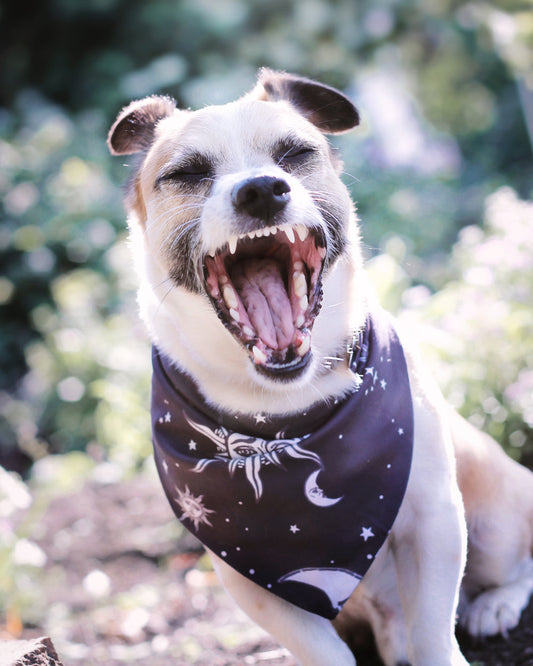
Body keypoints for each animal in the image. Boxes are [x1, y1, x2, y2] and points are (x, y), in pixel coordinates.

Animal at [108, 68, 532, 664]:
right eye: (187, 173)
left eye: (295, 153)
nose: (262, 189)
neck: (288, 408)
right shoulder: (251, 577)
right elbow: (325, 652)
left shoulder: (435, 521)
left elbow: (433, 633)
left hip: (492, 513)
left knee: (517, 562)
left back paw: (494, 603)